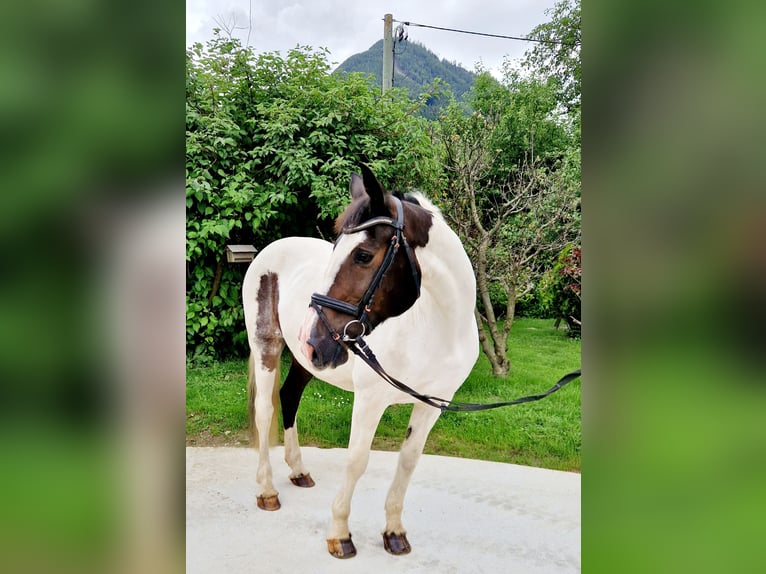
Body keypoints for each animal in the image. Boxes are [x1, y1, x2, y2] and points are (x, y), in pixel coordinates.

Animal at [242, 164, 480, 560]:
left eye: (364, 255)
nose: (311, 337)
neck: (437, 328)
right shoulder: (371, 399)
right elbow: (356, 460)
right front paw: (340, 534)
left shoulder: (434, 404)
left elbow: (408, 461)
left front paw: (395, 532)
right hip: (270, 347)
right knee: (265, 410)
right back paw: (266, 491)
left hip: (306, 362)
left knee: (289, 398)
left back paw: (298, 471)